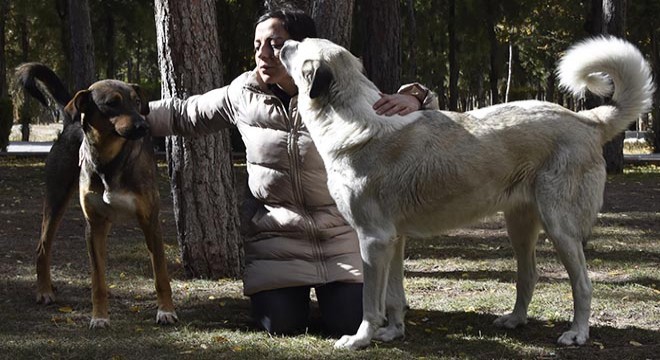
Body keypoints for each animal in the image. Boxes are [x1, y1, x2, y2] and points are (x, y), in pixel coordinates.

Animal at [17, 63, 178, 328]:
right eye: (112, 103)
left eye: (136, 102)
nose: (144, 127)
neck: (109, 159)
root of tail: (70, 124)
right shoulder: (94, 225)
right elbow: (97, 280)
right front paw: (99, 316)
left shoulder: (150, 222)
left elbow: (161, 276)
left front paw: (165, 311)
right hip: (56, 198)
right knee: (42, 248)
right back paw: (44, 291)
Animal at [278, 36, 656, 348]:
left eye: (301, 46)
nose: (281, 43)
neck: (349, 119)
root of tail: (586, 120)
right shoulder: (393, 240)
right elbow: (394, 296)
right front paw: (393, 332)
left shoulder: (373, 239)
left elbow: (371, 303)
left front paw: (360, 339)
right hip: (520, 226)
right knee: (529, 275)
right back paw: (514, 320)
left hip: (560, 228)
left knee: (583, 285)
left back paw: (577, 333)